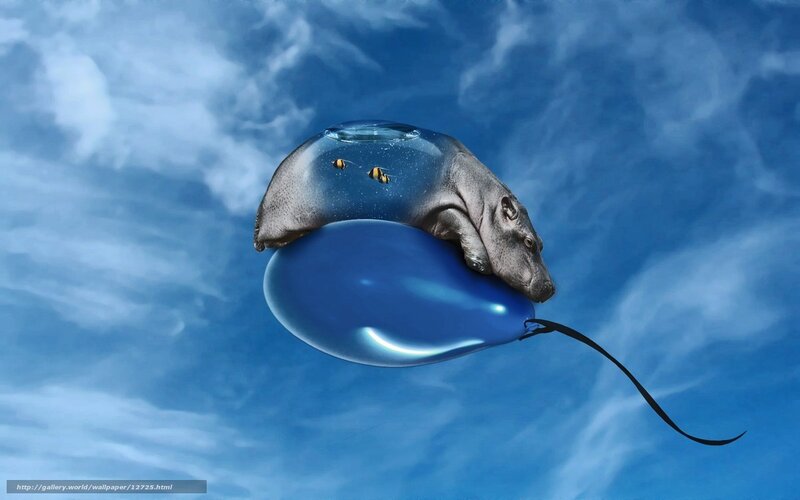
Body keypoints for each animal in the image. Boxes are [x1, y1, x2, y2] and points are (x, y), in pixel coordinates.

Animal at [253, 120, 555, 303]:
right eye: (529, 242)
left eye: (541, 243)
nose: (552, 288)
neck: (484, 201)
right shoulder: (439, 206)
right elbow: (462, 221)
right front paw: (480, 263)